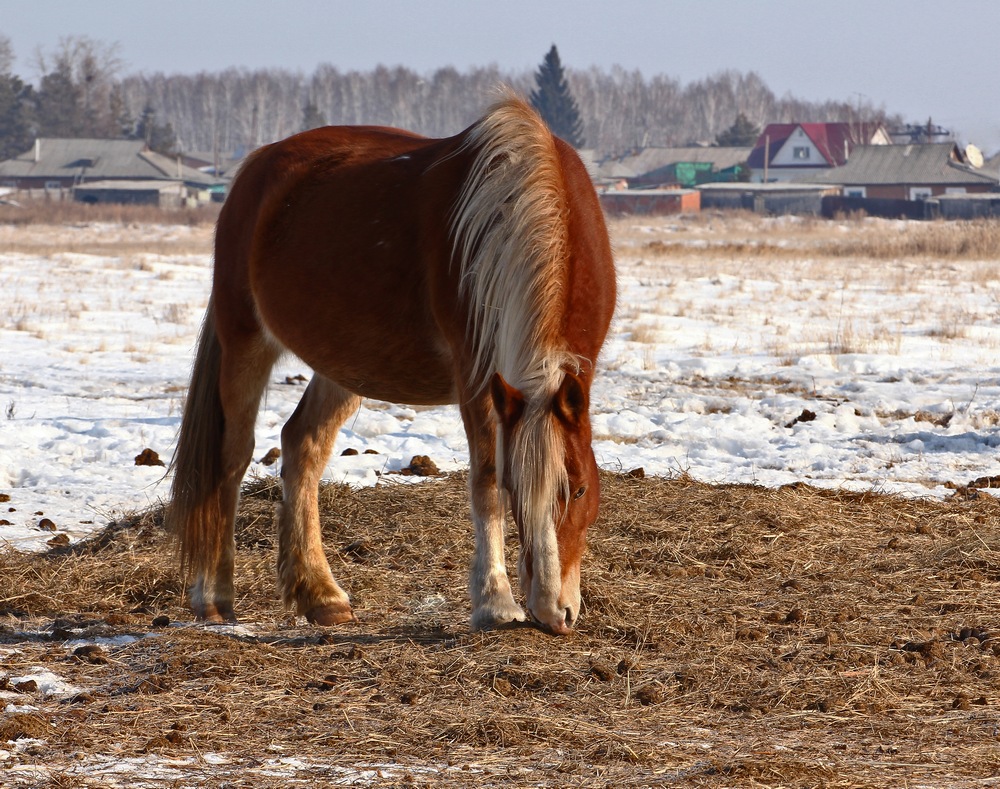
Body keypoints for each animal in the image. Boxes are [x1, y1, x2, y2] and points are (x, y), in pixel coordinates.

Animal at [168, 91, 612, 636]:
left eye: (580, 489)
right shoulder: (475, 375)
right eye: (517, 490)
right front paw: (495, 602)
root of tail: (256, 168)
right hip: (244, 340)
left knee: (302, 446)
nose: (555, 612)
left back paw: (321, 595)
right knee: (231, 459)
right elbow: (484, 479)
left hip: (341, 364)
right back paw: (214, 596)